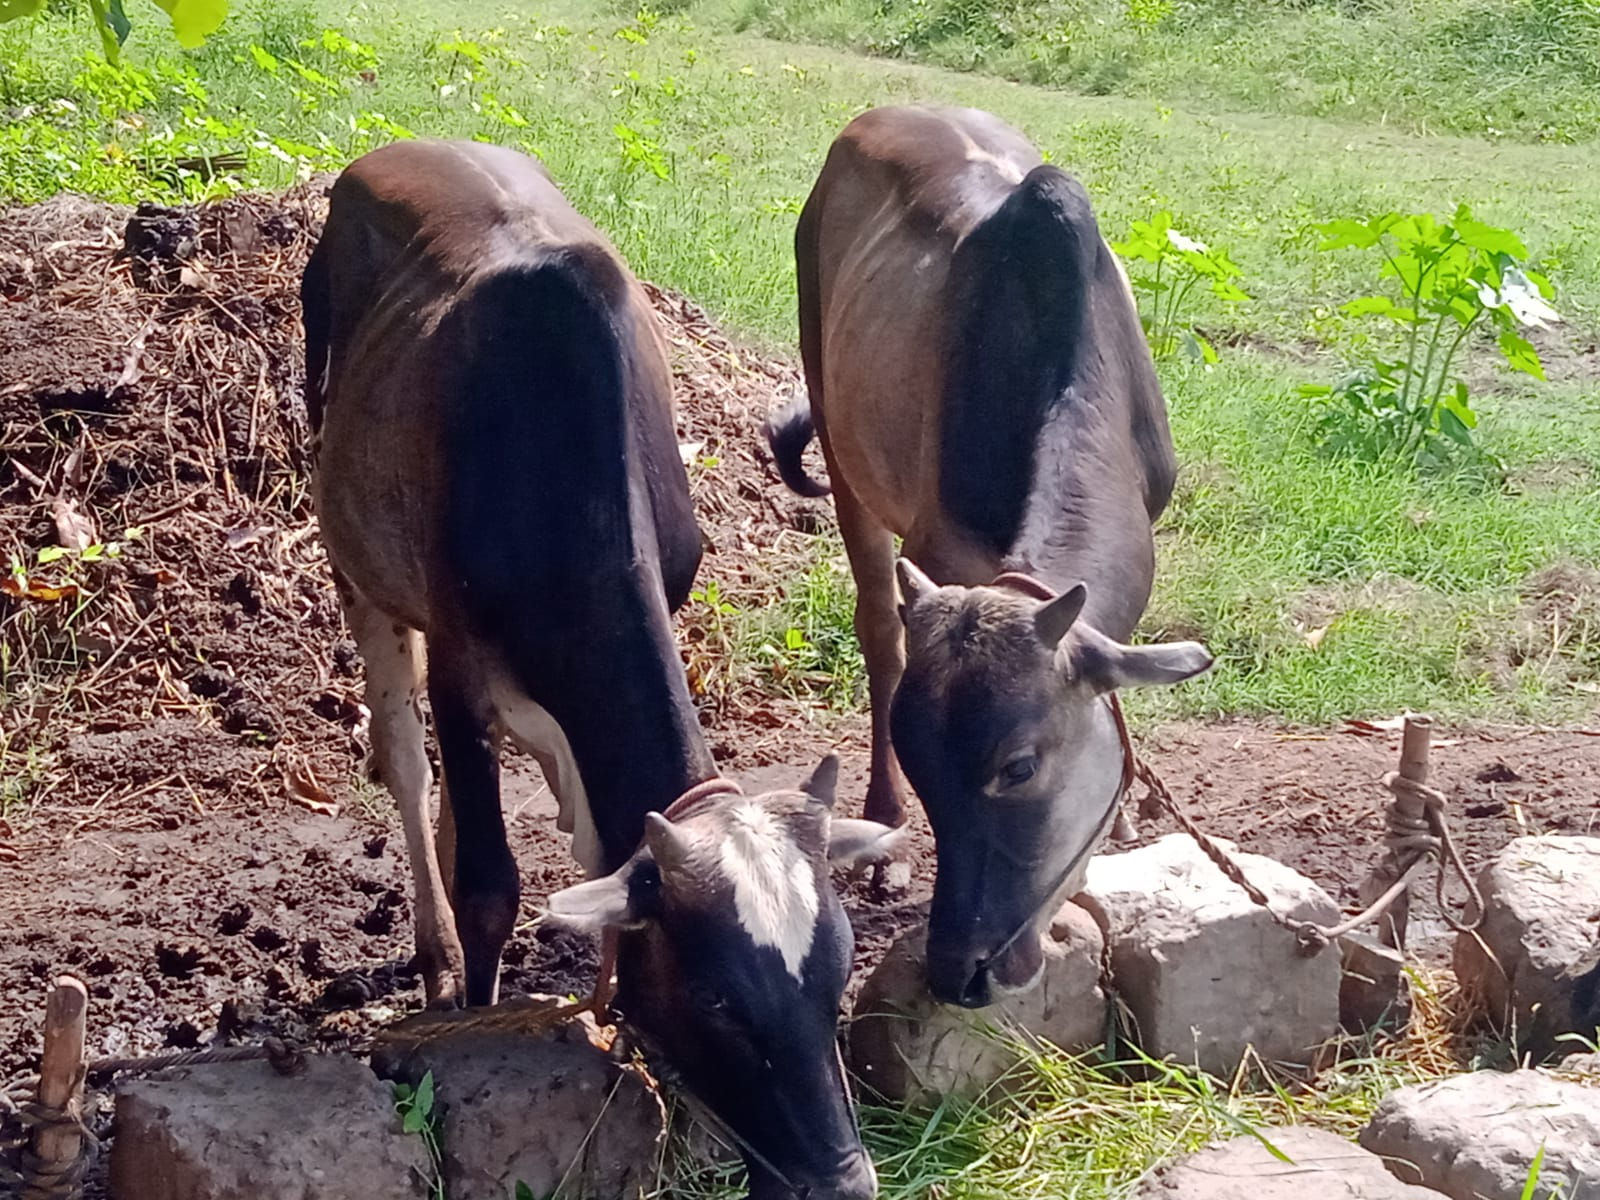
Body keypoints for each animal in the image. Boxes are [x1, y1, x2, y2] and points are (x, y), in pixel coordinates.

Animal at [303, 139, 891, 1199]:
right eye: (716, 1002)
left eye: (836, 978)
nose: (842, 1182)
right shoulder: (459, 665)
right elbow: (490, 881)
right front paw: (473, 1015)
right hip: (354, 556)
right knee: (407, 762)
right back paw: (431, 948)